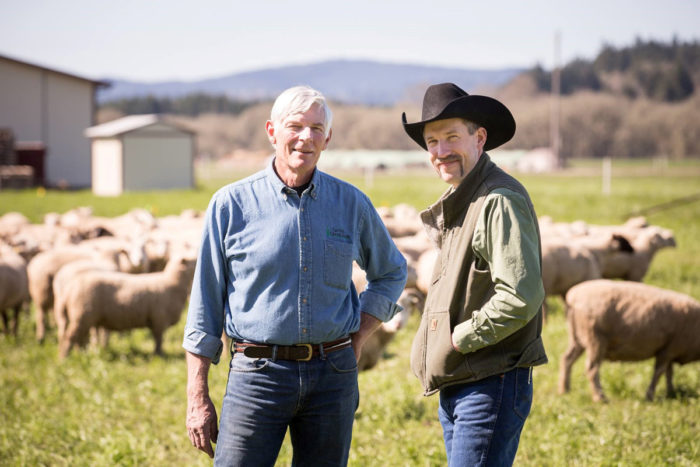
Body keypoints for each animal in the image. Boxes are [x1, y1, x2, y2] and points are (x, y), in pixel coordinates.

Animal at [57, 252, 197, 358]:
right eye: (194, 261)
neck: (173, 282)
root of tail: (69, 289)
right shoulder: (159, 320)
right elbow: (159, 340)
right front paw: (159, 355)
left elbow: (158, 339)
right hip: (82, 315)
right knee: (70, 337)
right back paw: (64, 358)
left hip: (84, 317)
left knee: (78, 338)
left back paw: (80, 354)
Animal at [560, 280, 700, 404]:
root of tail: (573, 297)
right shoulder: (670, 349)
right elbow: (659, 372)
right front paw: (650, 395)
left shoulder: (669, 349)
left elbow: (669, 372)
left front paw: (671, 392)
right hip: (595, 339)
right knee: (592, 369)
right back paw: (600, 398)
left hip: (577, 338)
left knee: (567, 359)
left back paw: (564, 390)